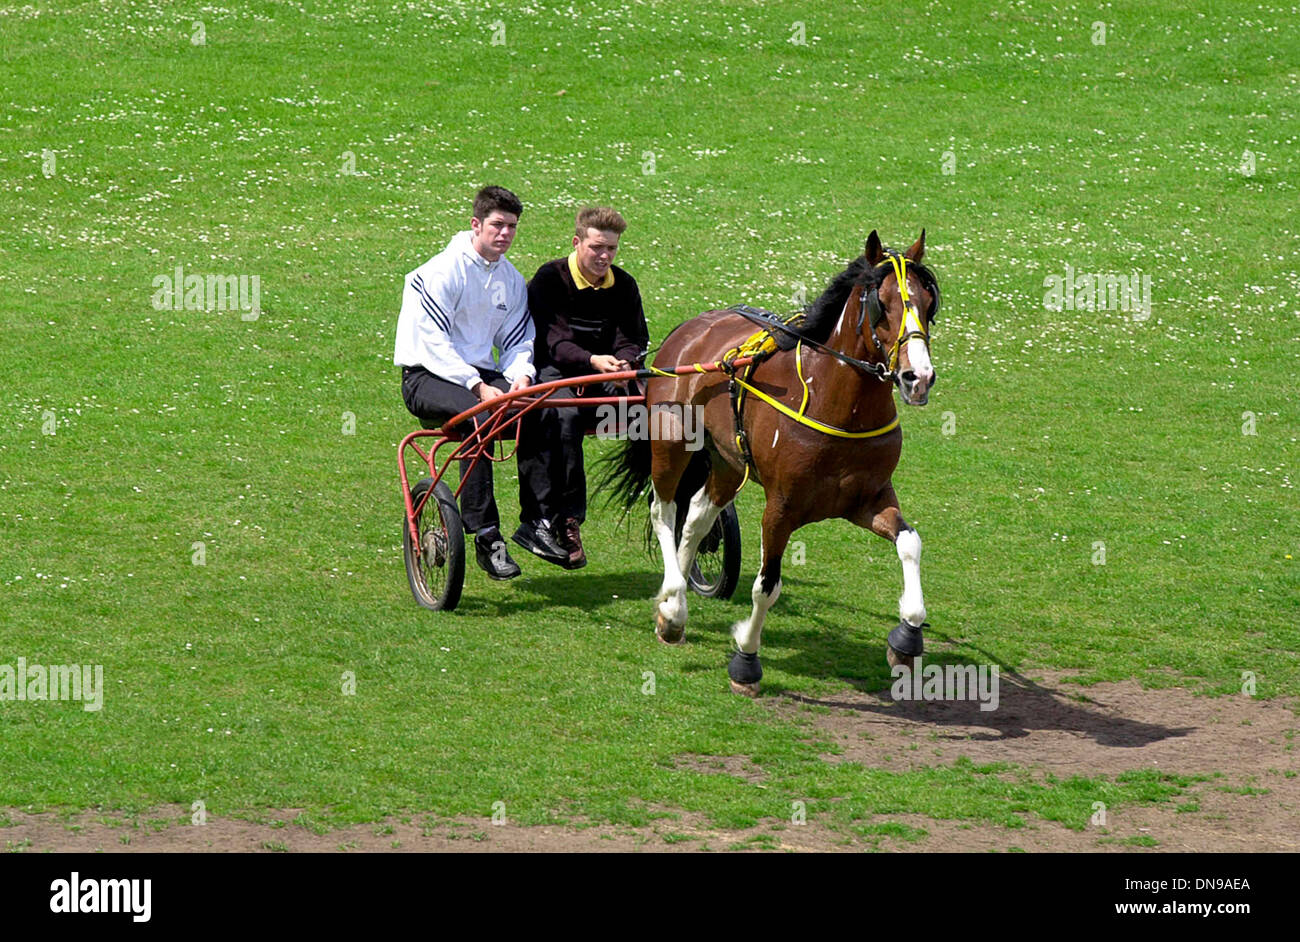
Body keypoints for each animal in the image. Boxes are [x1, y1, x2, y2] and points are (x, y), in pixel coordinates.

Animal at [595, 231, 941, 696]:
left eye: (928, 301)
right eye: (880, 304)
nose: (917, 377)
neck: (836, 402)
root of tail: (692, 328)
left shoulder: (868, 500)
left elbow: (910, 543)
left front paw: (907, 636)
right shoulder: (781, 509)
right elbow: (767, 586)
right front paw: (746, 659)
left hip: (726, 461)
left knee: (697, 517)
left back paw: (673, 608)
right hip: (671, 444)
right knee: (664, 511)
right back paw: (673, 598)